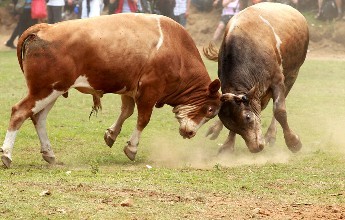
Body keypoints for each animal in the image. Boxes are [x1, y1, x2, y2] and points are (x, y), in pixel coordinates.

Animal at [0, 13, 220, 168]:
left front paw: (111, 134)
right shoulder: (150, 90)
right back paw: (7, 155)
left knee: (38, 117)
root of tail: (45, 28)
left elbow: (126, 112)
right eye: (210, 110)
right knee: (20, 112)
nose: (190, 133)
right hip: (44, 90)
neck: (176, 49)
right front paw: (131, 147)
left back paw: (49, 153)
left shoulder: (129, 90)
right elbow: (143, 119)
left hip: (53, 90)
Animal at [203, 3, 308, 155]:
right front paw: (227, 145)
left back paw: (271, 135)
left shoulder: (277, 80)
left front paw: (293, 142)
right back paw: (215, 129)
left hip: (292, 75)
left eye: (248, 117)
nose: (255, 148)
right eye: (230, 125)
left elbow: (279, 111)